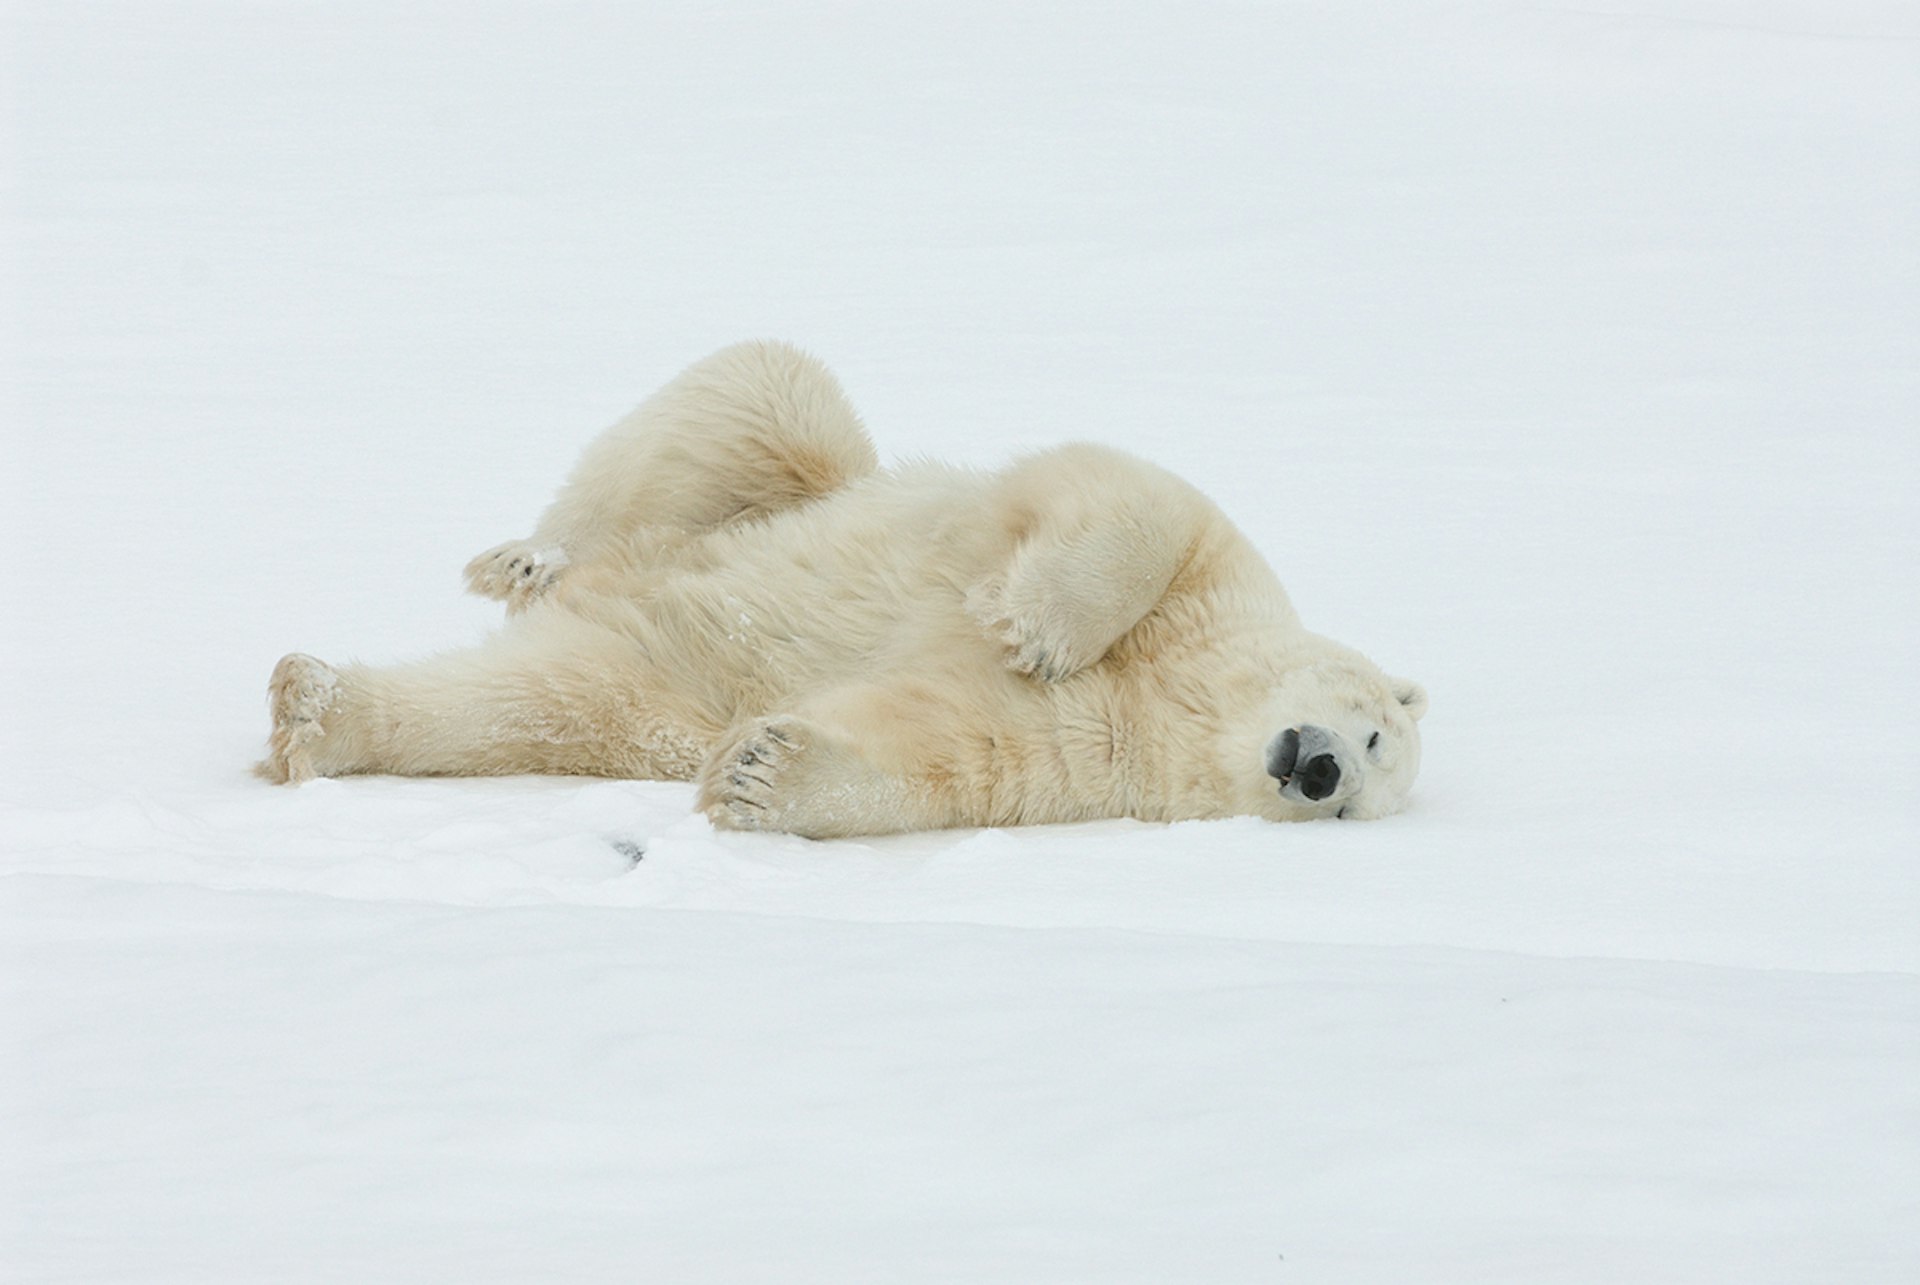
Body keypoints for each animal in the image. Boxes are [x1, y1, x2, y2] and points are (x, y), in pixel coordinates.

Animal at [259, 339, 1428, 837]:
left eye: (1362, 797)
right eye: (1373, 728)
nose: (1319, 767)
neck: (1179, 691)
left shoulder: (1099, 760)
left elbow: (944, 749)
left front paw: (761, 777)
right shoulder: (1217, 584)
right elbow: (1136, 494)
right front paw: (1036, 627)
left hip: (654, 681)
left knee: (530, 701)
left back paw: (318, 712)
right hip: (754, 486)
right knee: (768, 396)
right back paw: (529, 559)